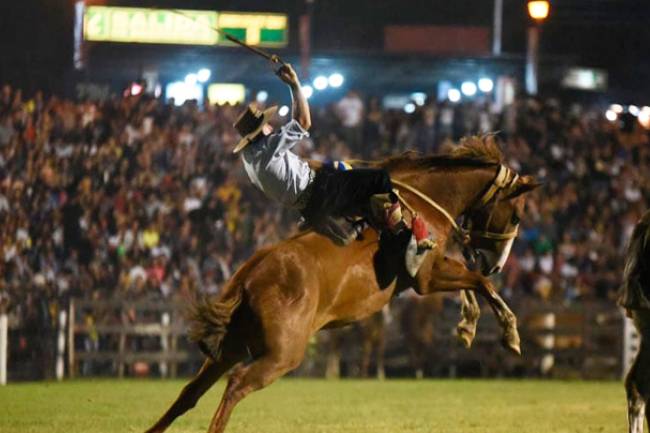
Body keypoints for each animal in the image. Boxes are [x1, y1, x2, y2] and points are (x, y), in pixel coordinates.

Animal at [144, 136, 540, 432]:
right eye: (516, 215)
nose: (496, 263)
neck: (423, 201)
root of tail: (250, 276)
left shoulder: (434, 273)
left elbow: (471, 283)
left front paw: (468, 325)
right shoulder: (426, 278)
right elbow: (477, 282)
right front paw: (509, 333)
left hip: (230, 347)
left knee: (189, 393)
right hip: (280, 354)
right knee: (236, 385)